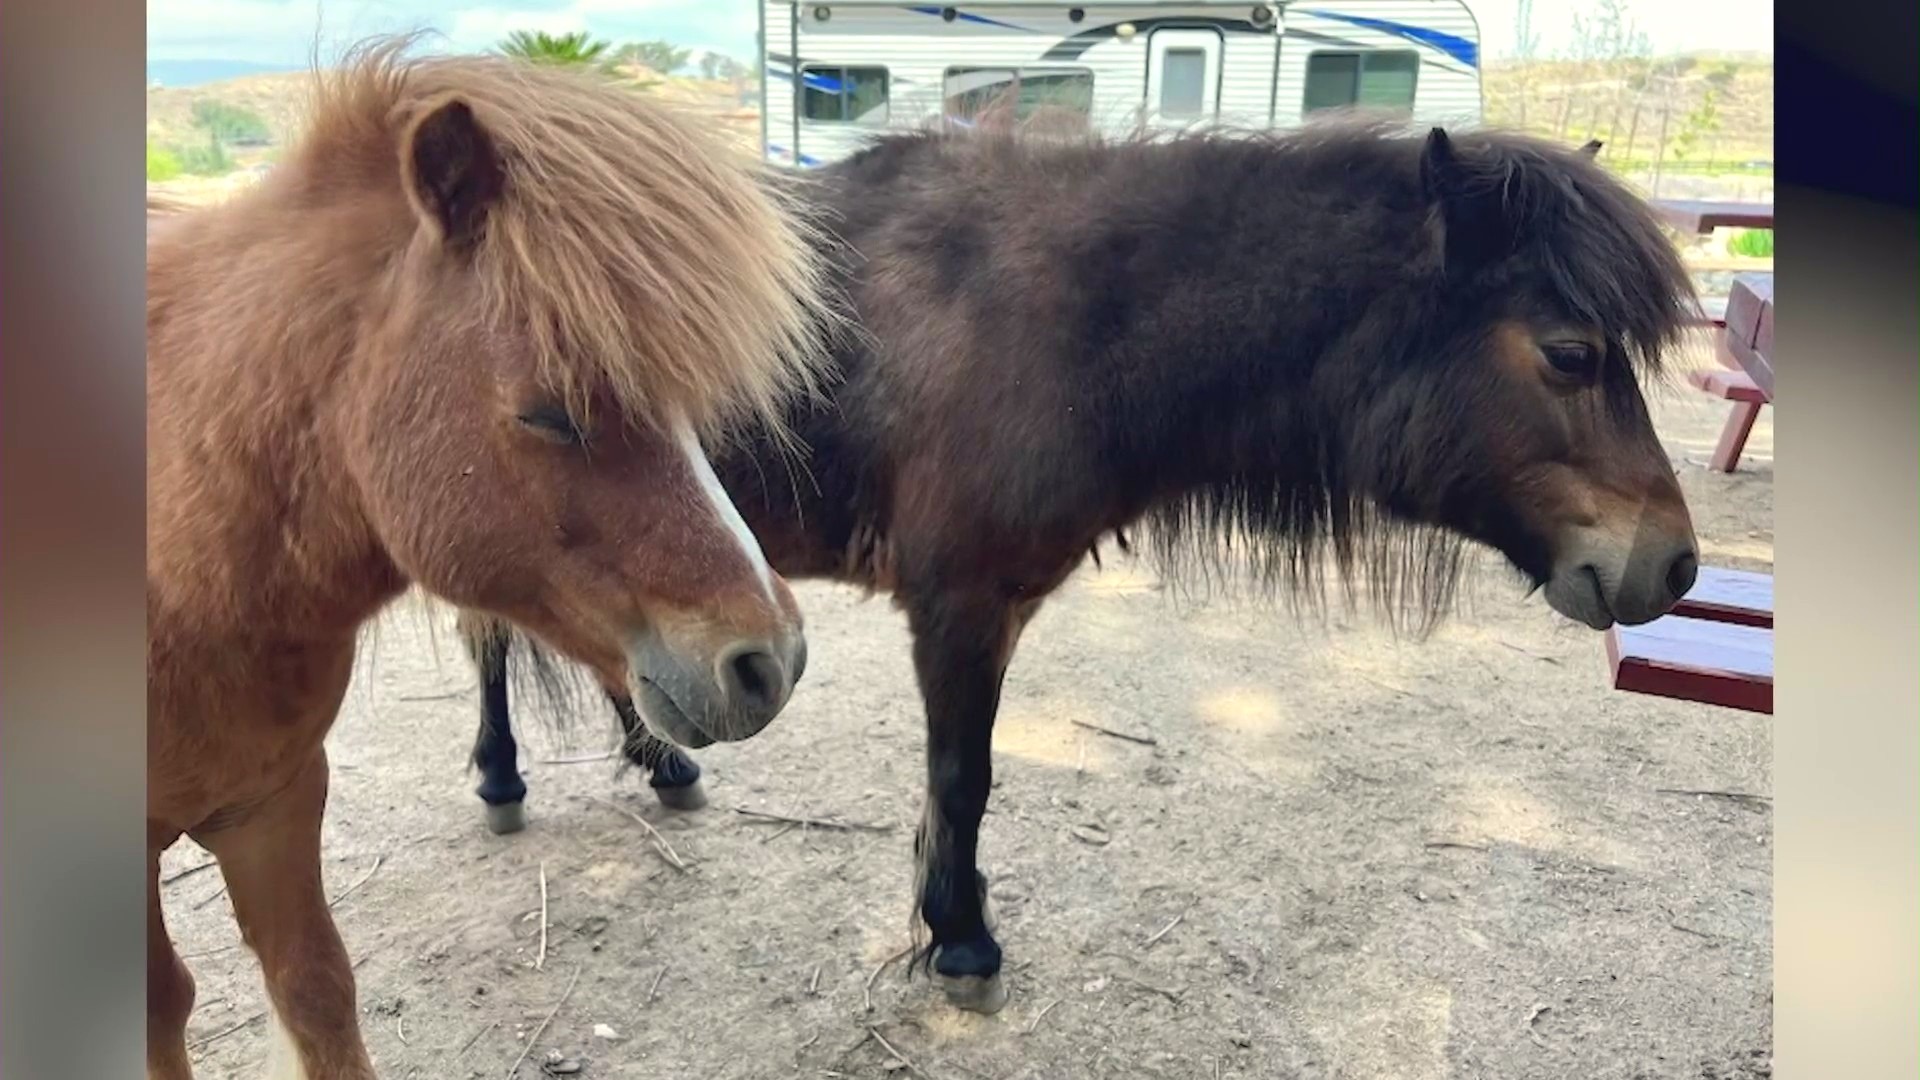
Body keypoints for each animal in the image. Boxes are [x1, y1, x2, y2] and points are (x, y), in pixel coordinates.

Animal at [464, 122, 1697, 1014]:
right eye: (1571, 355)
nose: (1676, 563)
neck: (1063, 328)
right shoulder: (959, 606)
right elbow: (963, 780)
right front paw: (961, 940)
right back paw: (505, 778)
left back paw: (660, 761)